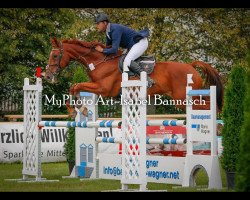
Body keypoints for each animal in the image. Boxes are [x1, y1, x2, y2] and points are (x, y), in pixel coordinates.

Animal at [45, 38, 225, 115]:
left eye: (55, 56)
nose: (47, 75)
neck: (99, 62)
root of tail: (191, 66)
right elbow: (74, 87)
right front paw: (76, 109)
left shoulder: (104, 89)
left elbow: (75, 86)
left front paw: (76, 109)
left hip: (183, 98)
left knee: (209, 105)